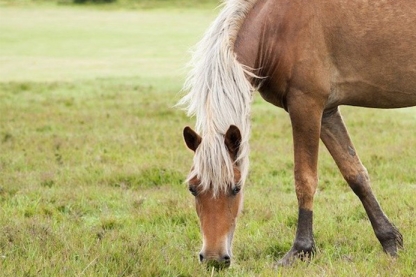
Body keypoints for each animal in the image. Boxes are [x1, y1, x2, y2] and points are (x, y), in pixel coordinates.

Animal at [177, 0, 414, 268]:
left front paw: (301, 250)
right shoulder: (327, 113)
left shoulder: (306, 105)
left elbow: (305, 179)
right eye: (193, 188)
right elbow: (355, 174)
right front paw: (390, 241)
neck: (276, 26)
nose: (214, 259)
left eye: (236, 188)